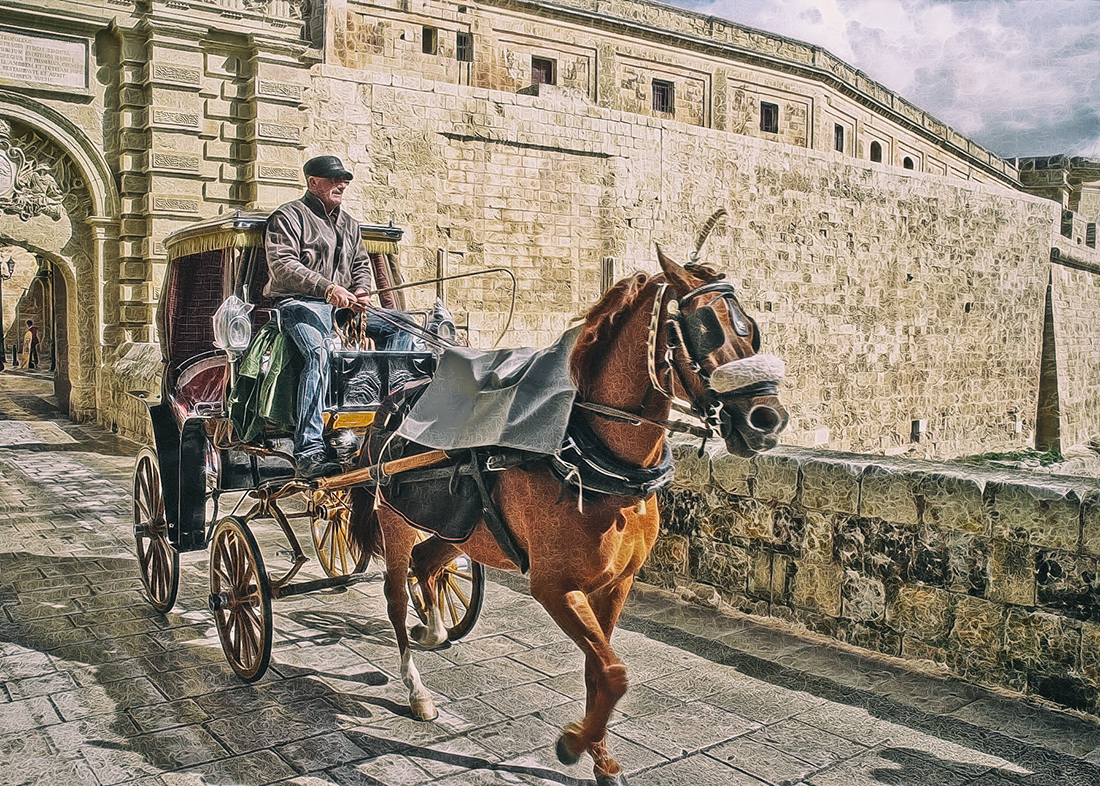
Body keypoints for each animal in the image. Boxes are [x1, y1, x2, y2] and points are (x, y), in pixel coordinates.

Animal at [347, 236, 787, 782]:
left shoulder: (616, 583)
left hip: (459, 530)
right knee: (394, 596)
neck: (592, 458)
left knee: (428, 567)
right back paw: (417, 688)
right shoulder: (555, 586)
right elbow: (614, 673)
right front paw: (575, 743)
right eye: (703, 328)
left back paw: (433, 629)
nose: (767, 419)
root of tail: (390, 403)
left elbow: (598, 671)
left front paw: (601, 756)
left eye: (750, 325)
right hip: (396, 519)